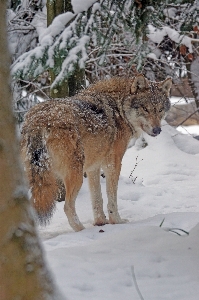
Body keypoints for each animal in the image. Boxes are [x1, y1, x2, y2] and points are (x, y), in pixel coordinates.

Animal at [21, 74, 172, 231]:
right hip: (75, 175)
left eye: (160, 109)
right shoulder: (113, 164)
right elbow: (111, 198)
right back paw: (81, 230)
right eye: (145, 109)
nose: (157, 130)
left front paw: (100, 222)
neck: (119, 108)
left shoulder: (93, 167)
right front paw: (116, 221)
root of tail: (38, 121)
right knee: (67, 207)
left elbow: (97, 198)